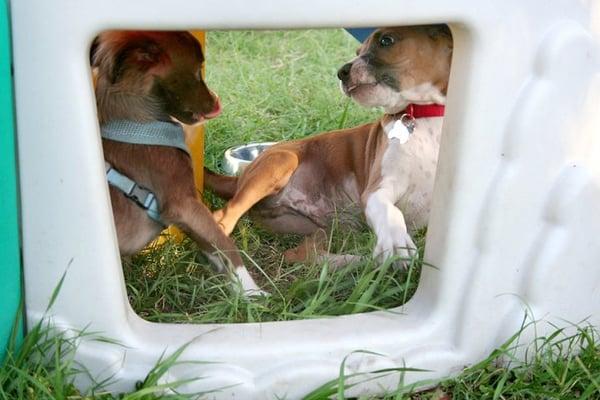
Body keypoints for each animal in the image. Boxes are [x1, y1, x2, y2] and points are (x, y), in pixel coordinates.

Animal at [92, 31, 262, 294]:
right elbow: (223, 241)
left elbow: (212, 245)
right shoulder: (183, 205)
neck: (138, 121)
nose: (218, 103)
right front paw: (252, 292)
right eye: (197, 71)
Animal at [205, 25, 450, 268]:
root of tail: (240, 179)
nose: (342, 71)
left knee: (302, 254)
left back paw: (356, 262)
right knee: (224, 217)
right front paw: (396, 241)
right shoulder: (377, 189)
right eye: (358, 50)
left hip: (318, 228)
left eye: (386, 41)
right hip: (282, 162)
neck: (425, 115)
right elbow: (390, 211)